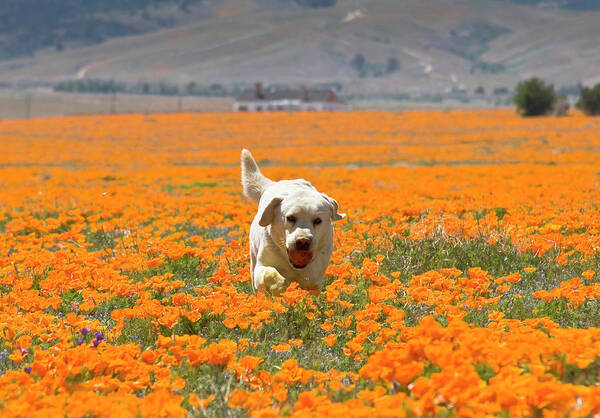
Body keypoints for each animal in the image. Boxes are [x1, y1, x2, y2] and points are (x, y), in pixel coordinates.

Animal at [238, 149, 342, 296]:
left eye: (318, 220)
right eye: (290, 218)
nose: (303, 241)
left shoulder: (314, 278)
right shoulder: (261, 265)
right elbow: (269, 272)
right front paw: (280, 286)